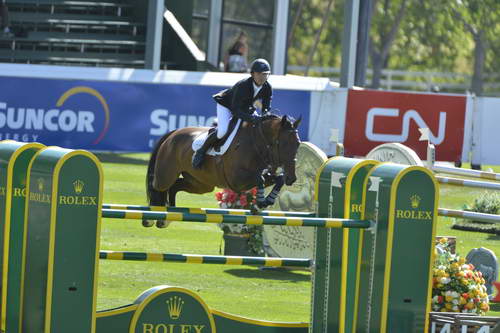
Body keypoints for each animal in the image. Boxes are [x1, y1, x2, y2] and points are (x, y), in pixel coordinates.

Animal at [143, 113, 302, 227]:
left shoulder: (261, 175)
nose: (292, 178)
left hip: (201, 184)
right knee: (157, 187)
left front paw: (263, 203)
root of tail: (173, 133)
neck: (256, 144)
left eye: (298, 144)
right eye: (283, 143)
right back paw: (151, 218)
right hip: (165, 176)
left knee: (175, 187)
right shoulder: (237, 180)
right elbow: (260, 178)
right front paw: (260, 203)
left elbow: (277, 179)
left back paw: (167, 218)